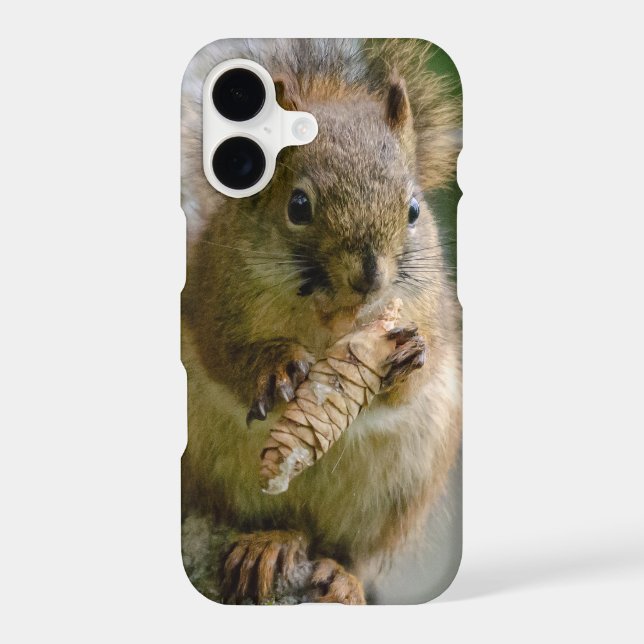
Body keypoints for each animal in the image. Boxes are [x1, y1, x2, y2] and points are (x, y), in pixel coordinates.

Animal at [181, 39, 462, 604]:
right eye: (298, 205)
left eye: (414, 209)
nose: (370, 277)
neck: (334, 318)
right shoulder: (214, 296)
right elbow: (226, 353)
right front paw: (275, 366)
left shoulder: (431, 309)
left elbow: (411, 380)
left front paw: (411, 354)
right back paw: (267, 543)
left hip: (403, 488)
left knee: (350, 549)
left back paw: (340, 576)